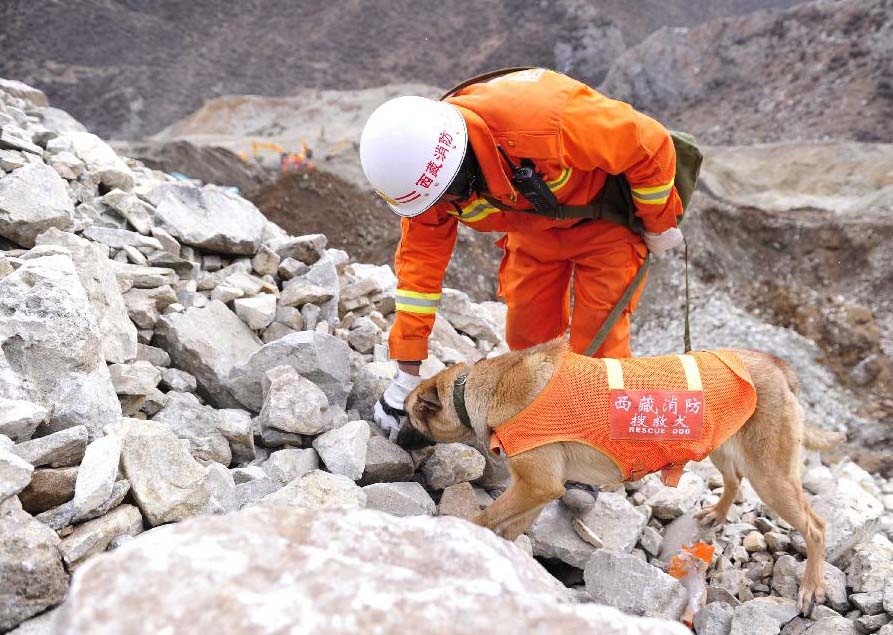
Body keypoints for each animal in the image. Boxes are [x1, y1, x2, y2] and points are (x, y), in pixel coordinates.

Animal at [400, 342, 840, 616]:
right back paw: (716, 513)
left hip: (772, 477)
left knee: (816, 527)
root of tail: (778, 366)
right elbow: (509, 526)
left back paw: (811, 586)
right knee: (733, 480)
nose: (395, 436)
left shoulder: (534, 486)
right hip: (721, 446)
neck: (482, 389)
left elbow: (483, 518)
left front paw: (457, 536)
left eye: (409, 415)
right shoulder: (536, 491)